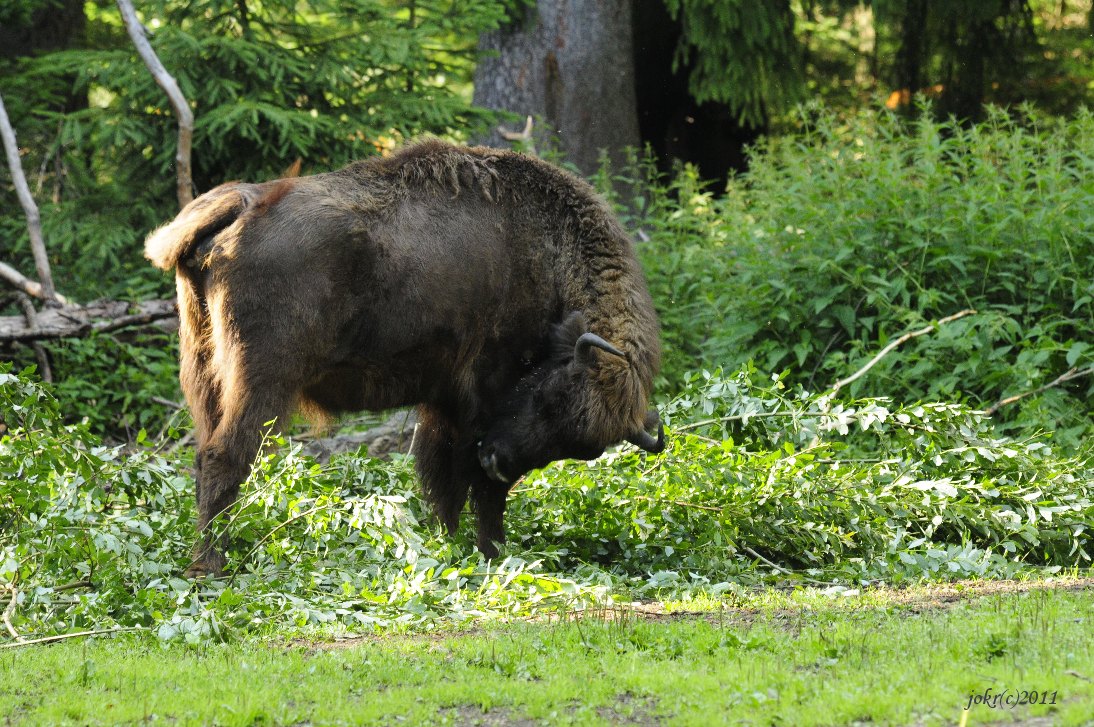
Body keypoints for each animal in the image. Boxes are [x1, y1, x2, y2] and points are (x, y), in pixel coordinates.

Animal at [145, 140, 664, 576]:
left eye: (579, 448)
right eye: (549, 396)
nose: (500, 459)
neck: (549, 255)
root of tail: (244, 202)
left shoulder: (445, 402)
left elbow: (443, 476)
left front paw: (453, 544)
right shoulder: (483, 397)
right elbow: (475, 485)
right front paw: (491, 550)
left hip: (204, 373)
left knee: (203, 455)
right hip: (264, 382)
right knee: (227, 457)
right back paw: (213, 566)